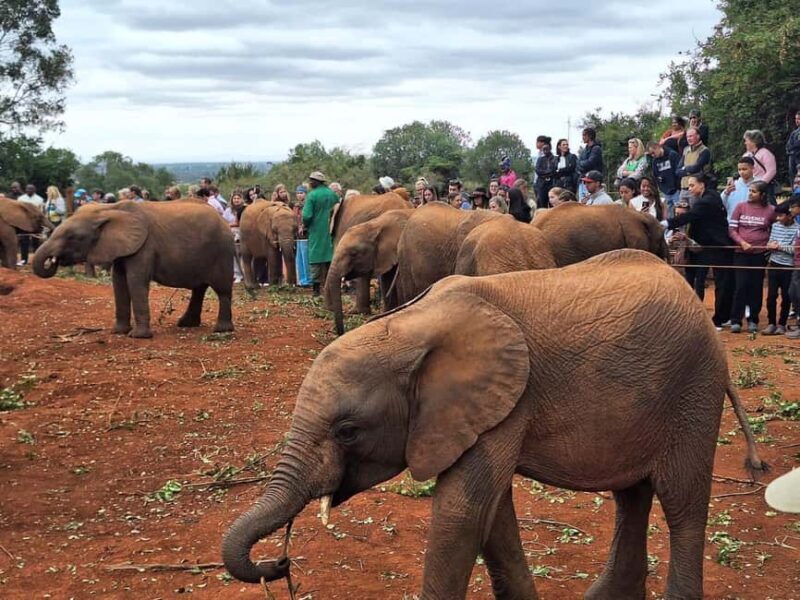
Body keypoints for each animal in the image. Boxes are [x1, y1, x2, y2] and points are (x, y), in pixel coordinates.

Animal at [33, 200, 234, 338]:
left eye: (72, 237)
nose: (54, 260)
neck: (108, 209)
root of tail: (222, 219)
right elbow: (118, 281)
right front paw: (118, 332)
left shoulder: (144, 246)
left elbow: (135, 281)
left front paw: (138, 336)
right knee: (199, 288)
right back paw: (186, 324)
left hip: (222, 250)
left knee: (222, 290)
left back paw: (221, 331)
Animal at [221, 249, 766, 599]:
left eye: (347, 431)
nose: (279, 564)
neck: (413, 324)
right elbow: (492, 515)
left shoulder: (507, 399)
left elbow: (463, 511)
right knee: (631, 496)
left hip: (694, 389)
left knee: (682, 503)